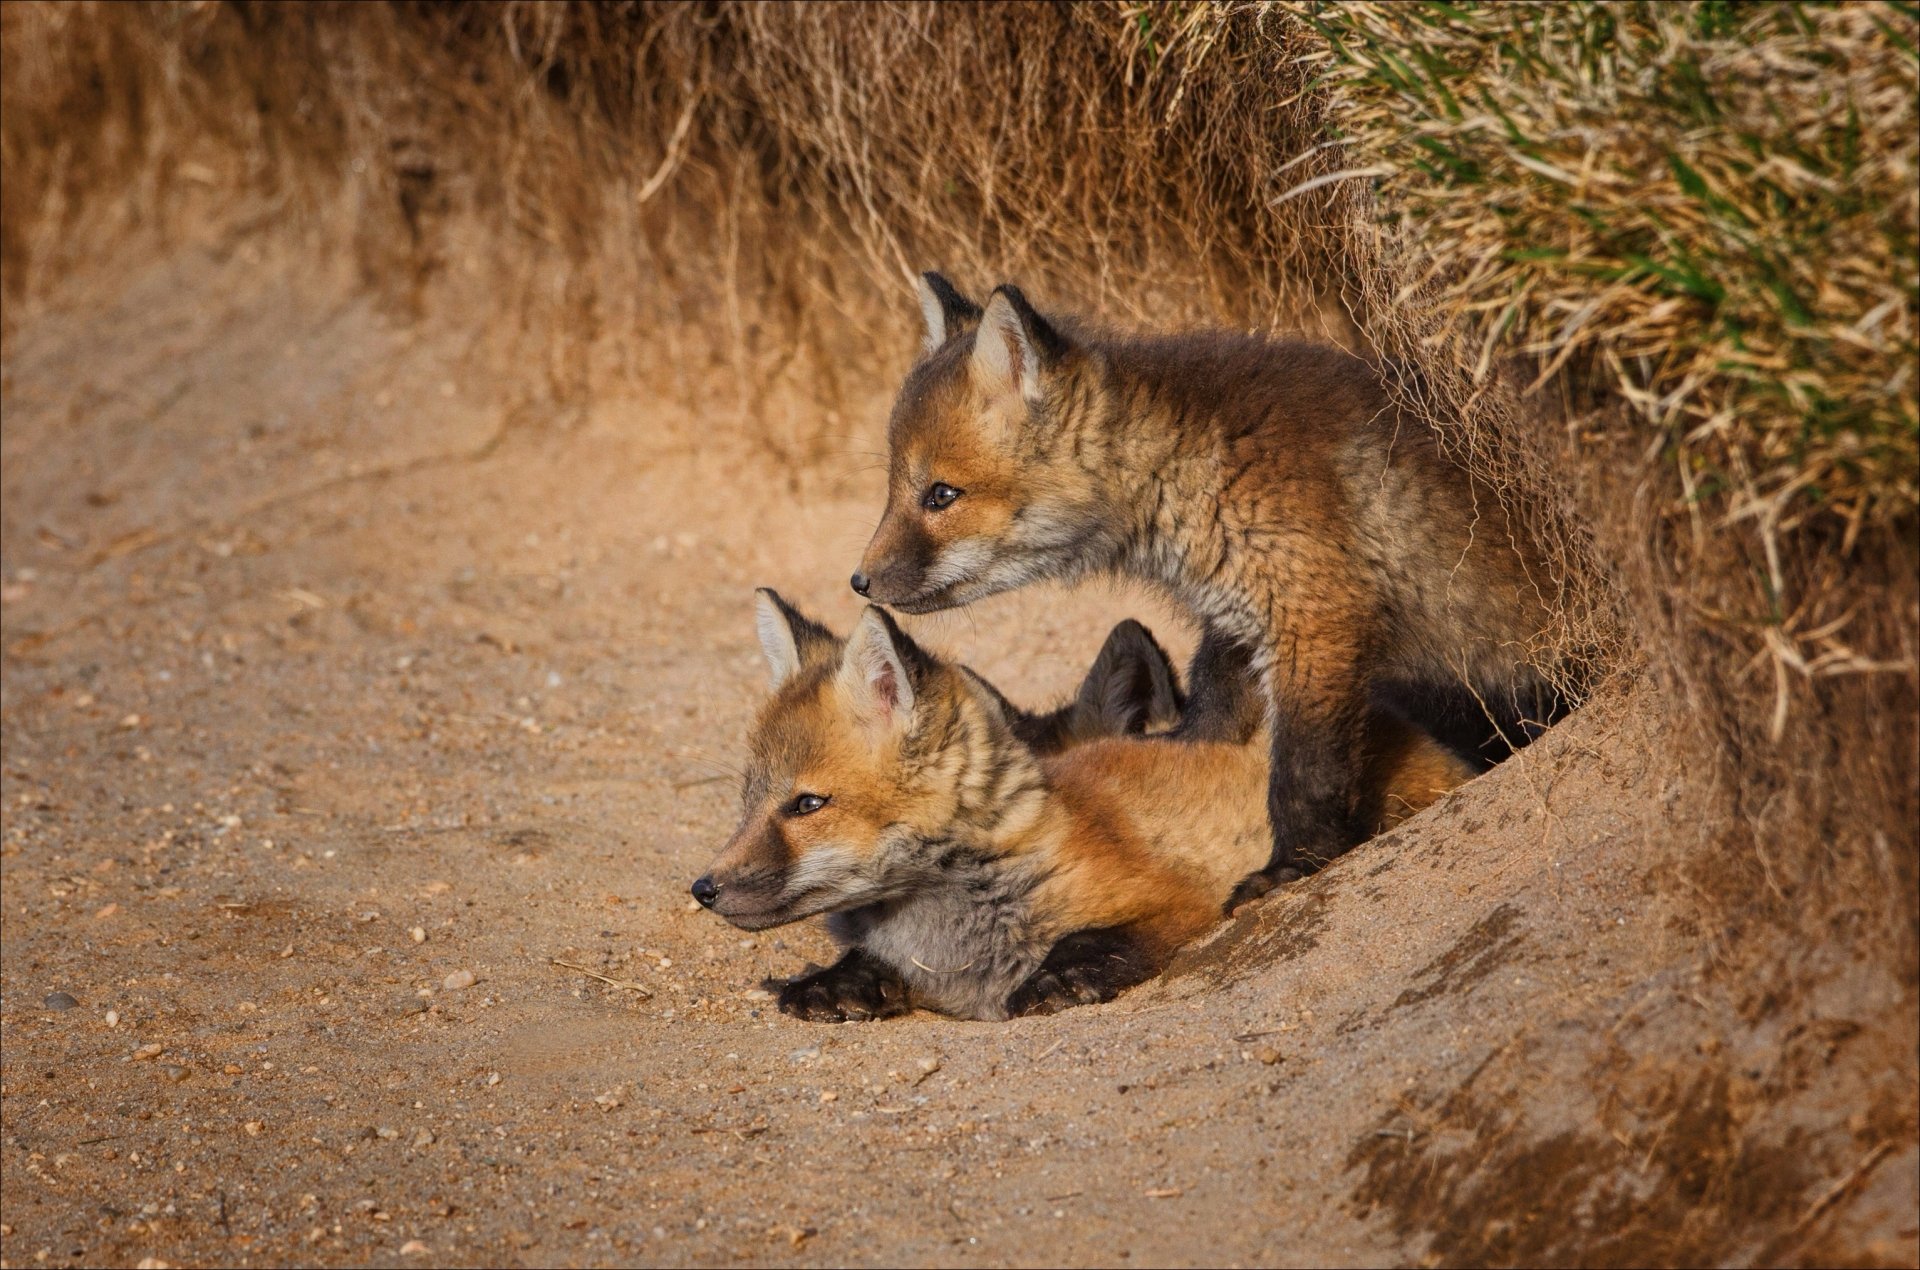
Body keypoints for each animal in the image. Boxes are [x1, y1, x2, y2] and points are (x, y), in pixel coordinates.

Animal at [689, 589, 1472, 1022]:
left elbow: (1094, 940)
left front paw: (1056, 979)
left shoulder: (1180, 902)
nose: (703, 888)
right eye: (750, 802)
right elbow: (862, 962)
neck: (946, 930)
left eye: (807, 804)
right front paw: (833, 982)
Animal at [851, 273, 1566, 903]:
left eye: (941, 495)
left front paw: (1294, 865)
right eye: (894, 490)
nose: (859, 581)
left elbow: (1301, 772)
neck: (1197, 477)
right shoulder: (1237, 622)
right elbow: (1209, 720)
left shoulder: (1314, 620)